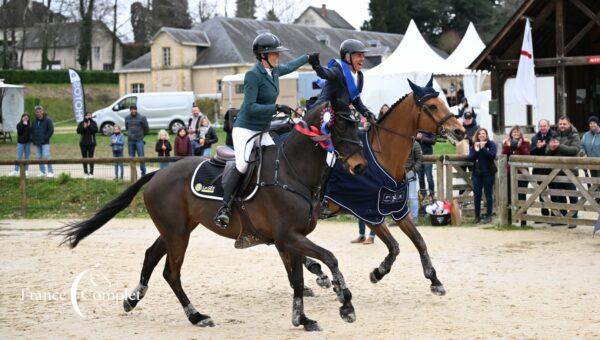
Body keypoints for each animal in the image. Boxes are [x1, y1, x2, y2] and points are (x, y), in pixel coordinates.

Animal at [54, 103, 368, 332]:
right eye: (341, 125)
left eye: (357, 124)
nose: (361, 166)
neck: (291, 171)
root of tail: (158, 173)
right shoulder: (288, 237)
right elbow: (328, 259)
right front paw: (345, 303)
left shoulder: (289, 240)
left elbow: (298, 279)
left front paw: (302, 319)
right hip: (178, 234)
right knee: (171, 273)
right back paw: (196, 316)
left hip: (176, 230)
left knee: (150, 255)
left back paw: (133, 299)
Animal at [308, 78, 466, 296]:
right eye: (433, 106)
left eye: (443, 102)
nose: (460, 131)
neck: (384, 157)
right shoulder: (369, 214)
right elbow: (394, 246)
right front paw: (378, 272)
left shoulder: (398, 209)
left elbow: (419, 241)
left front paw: (434, 280)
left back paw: (317, 274)